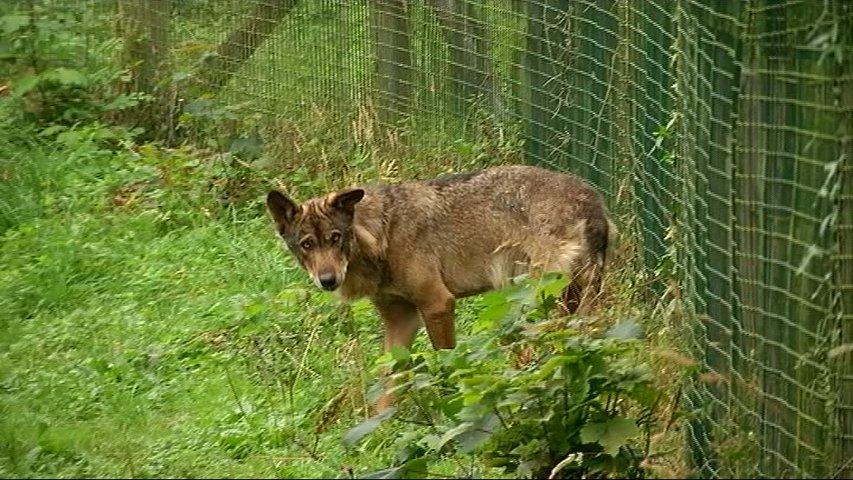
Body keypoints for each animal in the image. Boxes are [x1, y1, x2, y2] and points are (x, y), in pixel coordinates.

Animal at [266, 164, 612, 408]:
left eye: (335, 238)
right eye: (307, 244)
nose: (328, 280)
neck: (382, 234)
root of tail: (593, 201)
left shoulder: (437, 304)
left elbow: (449, 363)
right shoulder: (400, 318)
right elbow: (390, 379)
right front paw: (377, 432)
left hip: (537, 303)